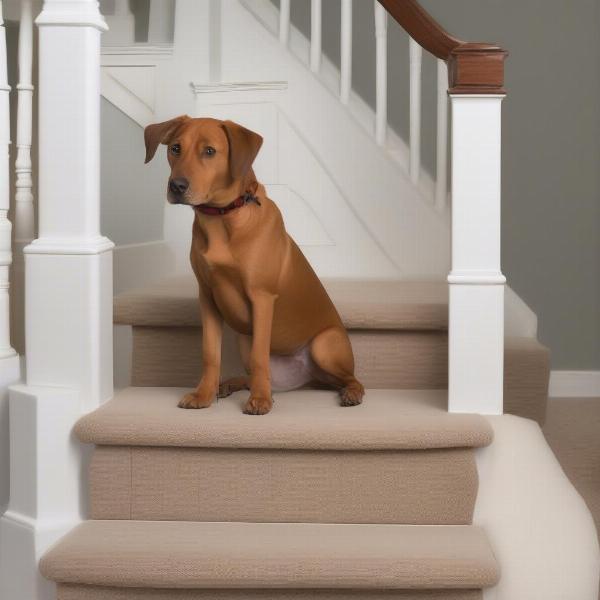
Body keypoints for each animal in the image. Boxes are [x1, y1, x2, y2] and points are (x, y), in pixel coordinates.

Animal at [144, 115, 366, 414]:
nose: (177, 186)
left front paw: (260, 400)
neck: (223, 217)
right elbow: (210, 354)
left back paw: (350, 393)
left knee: (351, 379)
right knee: (254, 375)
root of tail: (309, 377)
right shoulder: (207, 298)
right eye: (175, 148)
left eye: (210, 151)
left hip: (324, 346)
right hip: (243, 340)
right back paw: (229, 384)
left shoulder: (261, 298)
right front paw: (204, 394)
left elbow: (261, 355)